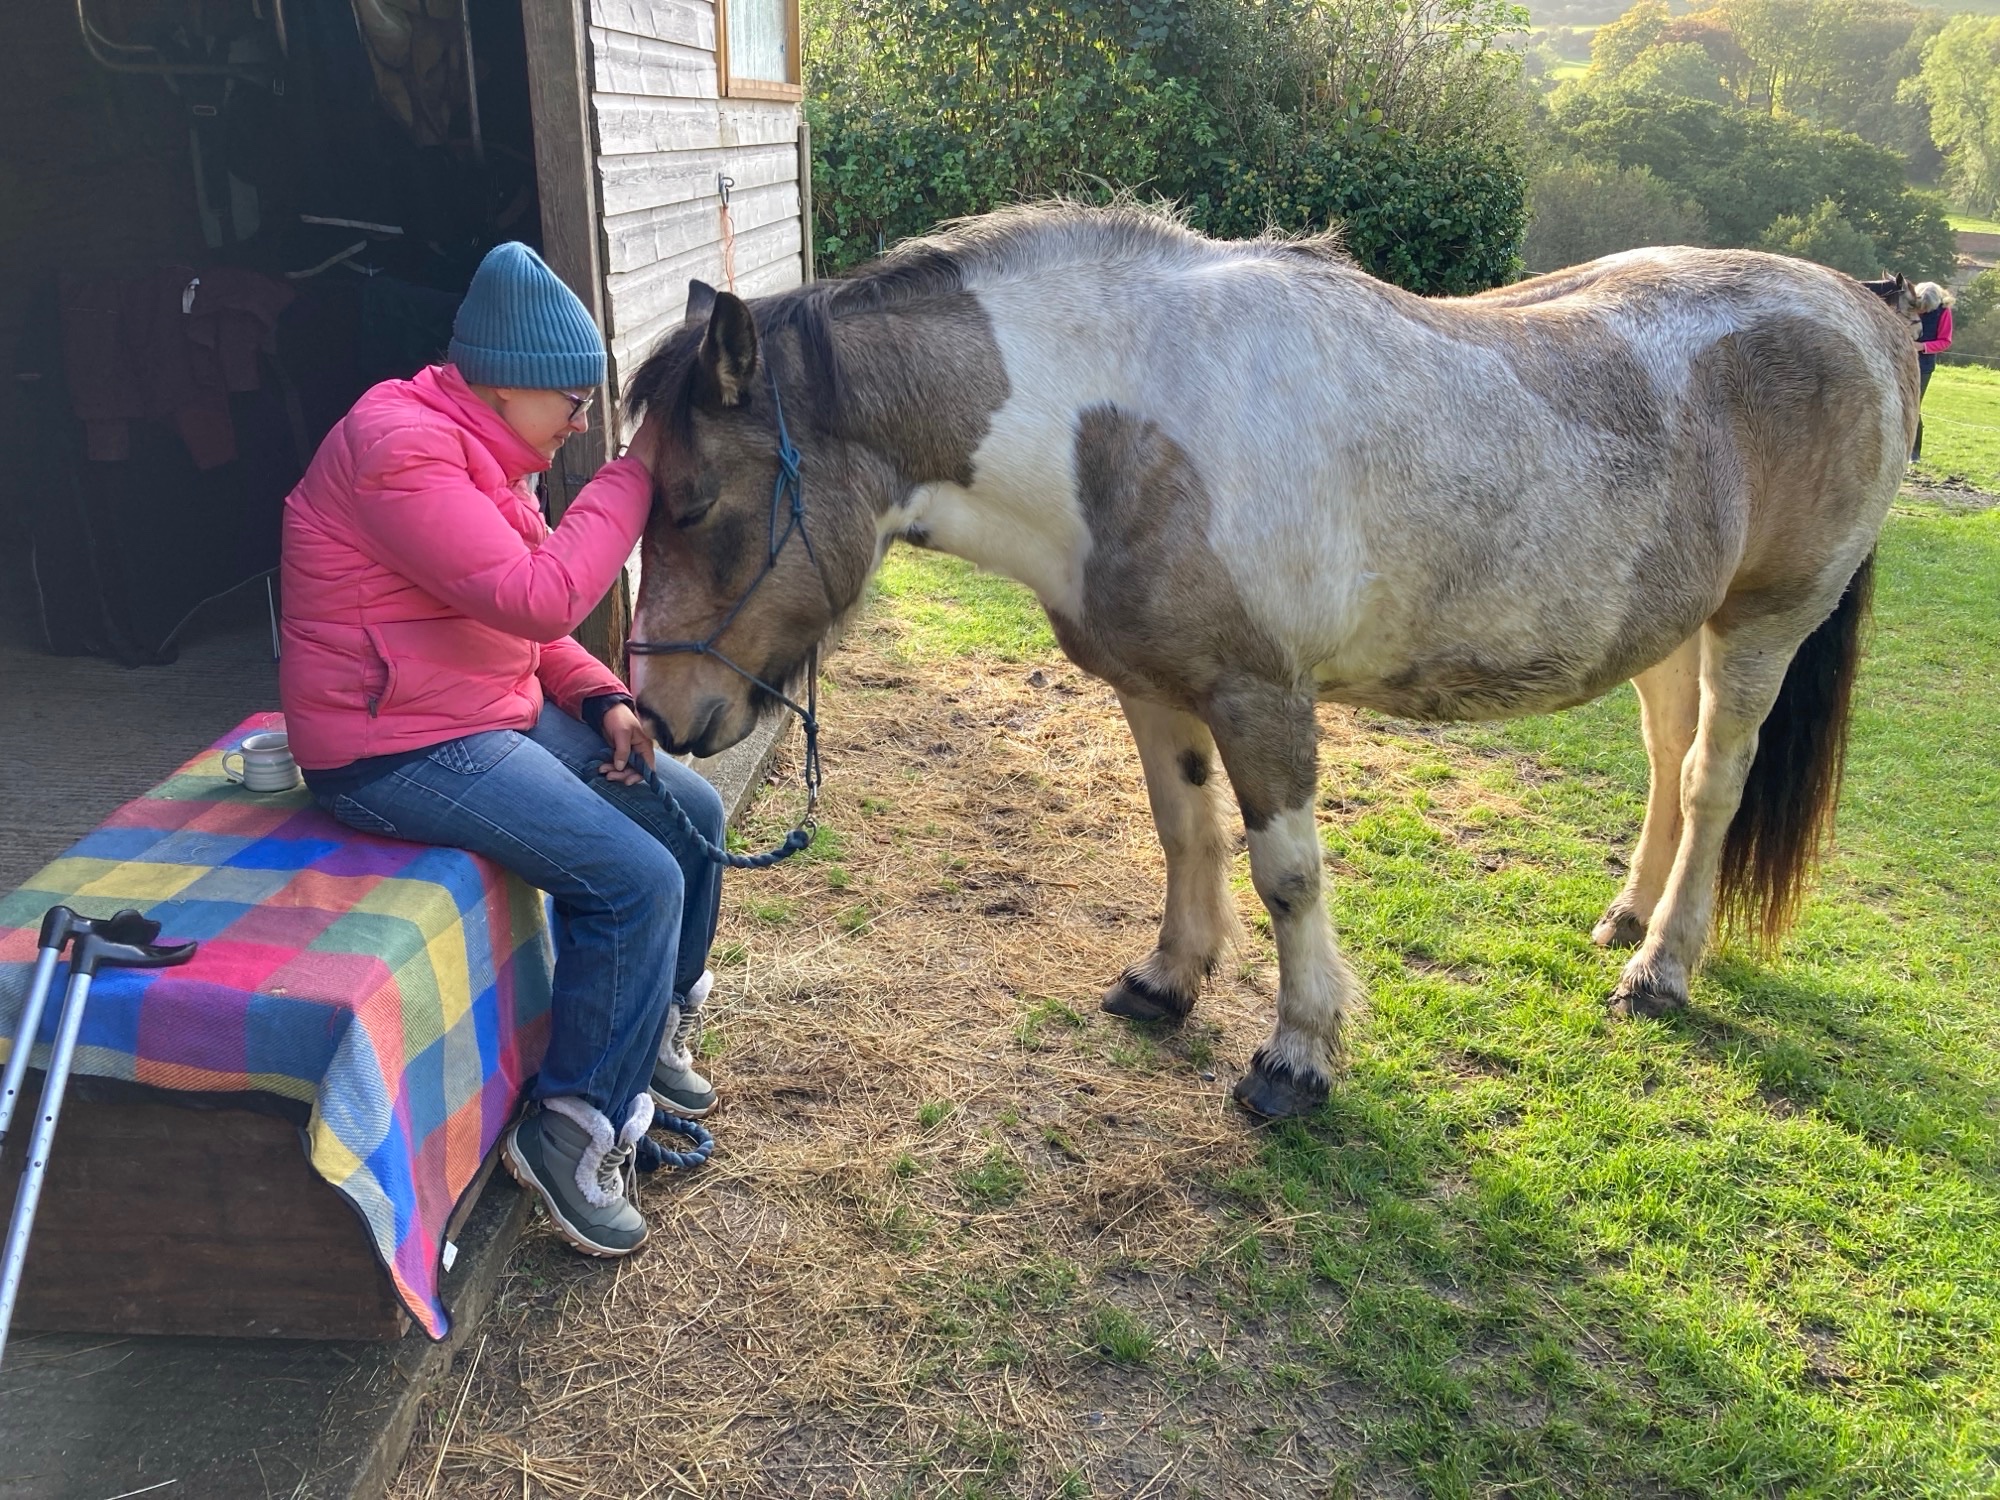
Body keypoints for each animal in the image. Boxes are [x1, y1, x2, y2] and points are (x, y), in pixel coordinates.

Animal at [624, 214, 1920, 1128]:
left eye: (693, 501)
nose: (660, 714)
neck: (1129, 431)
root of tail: (1859, 309)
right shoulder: (1155, 691)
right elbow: (1182, 833)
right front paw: (1166, 981)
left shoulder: (1262, 700)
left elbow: (1286, 874)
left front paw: (1296, 1055)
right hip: (1672, 632)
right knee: (1663, 761)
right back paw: (1627, 918)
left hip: (1760, 627)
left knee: (1710, 783)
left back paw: (1660, 966)